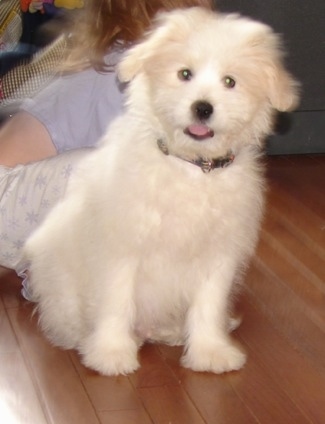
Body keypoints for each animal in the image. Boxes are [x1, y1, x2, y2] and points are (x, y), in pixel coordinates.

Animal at [24, 8, 298, 376]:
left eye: (230, 81)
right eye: (184, 74)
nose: (203, 108)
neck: (193, 168)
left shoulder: (218, 254)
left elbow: (209, 304)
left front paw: (210, 351)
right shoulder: (120, 248)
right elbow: (116, 301)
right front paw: (111, 353)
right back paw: (87, 339)